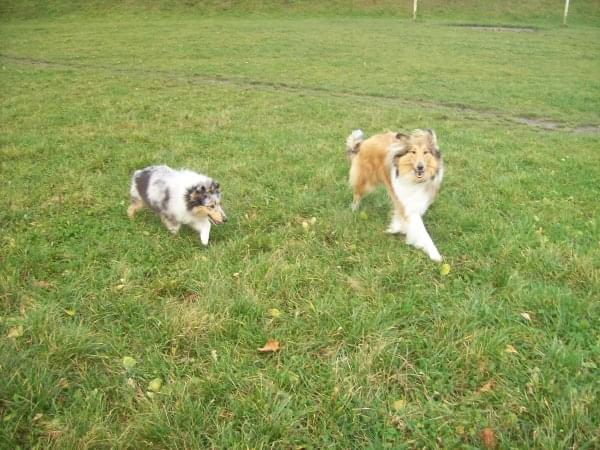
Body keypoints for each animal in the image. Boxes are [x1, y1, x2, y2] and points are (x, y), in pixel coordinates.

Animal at [346, 128, 444, 261]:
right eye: (413, 152)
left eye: (425, 152)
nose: (420, 167)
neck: (414, 179)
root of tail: (364, 142)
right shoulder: (408, 205)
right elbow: (422, 231)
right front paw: (435, 254)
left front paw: (396, 228)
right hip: (365, 180)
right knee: (357, 194)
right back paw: (354, 210)